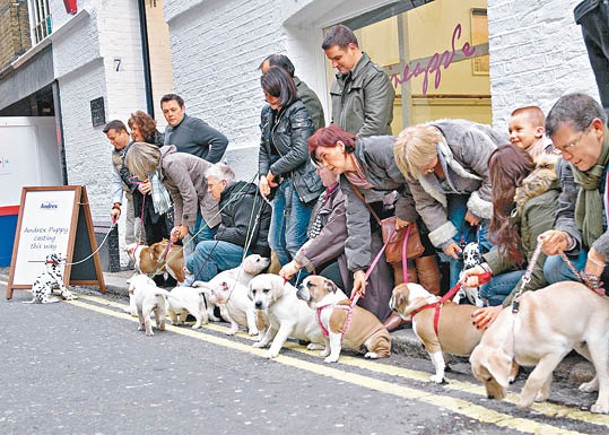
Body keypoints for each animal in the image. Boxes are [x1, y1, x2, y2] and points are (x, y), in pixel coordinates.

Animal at [470, 282, 608, 416]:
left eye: (489, 378)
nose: (491, 397)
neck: (514, 328)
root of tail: (605, 298)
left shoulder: (557, 350)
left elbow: (535, 377)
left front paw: (524, 401)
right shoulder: (541, 357)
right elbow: (545, 376)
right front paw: (542, 395)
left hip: (597, 344)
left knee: (604, 372)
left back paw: (601, 405)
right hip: (582, 345)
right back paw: (591, 386)